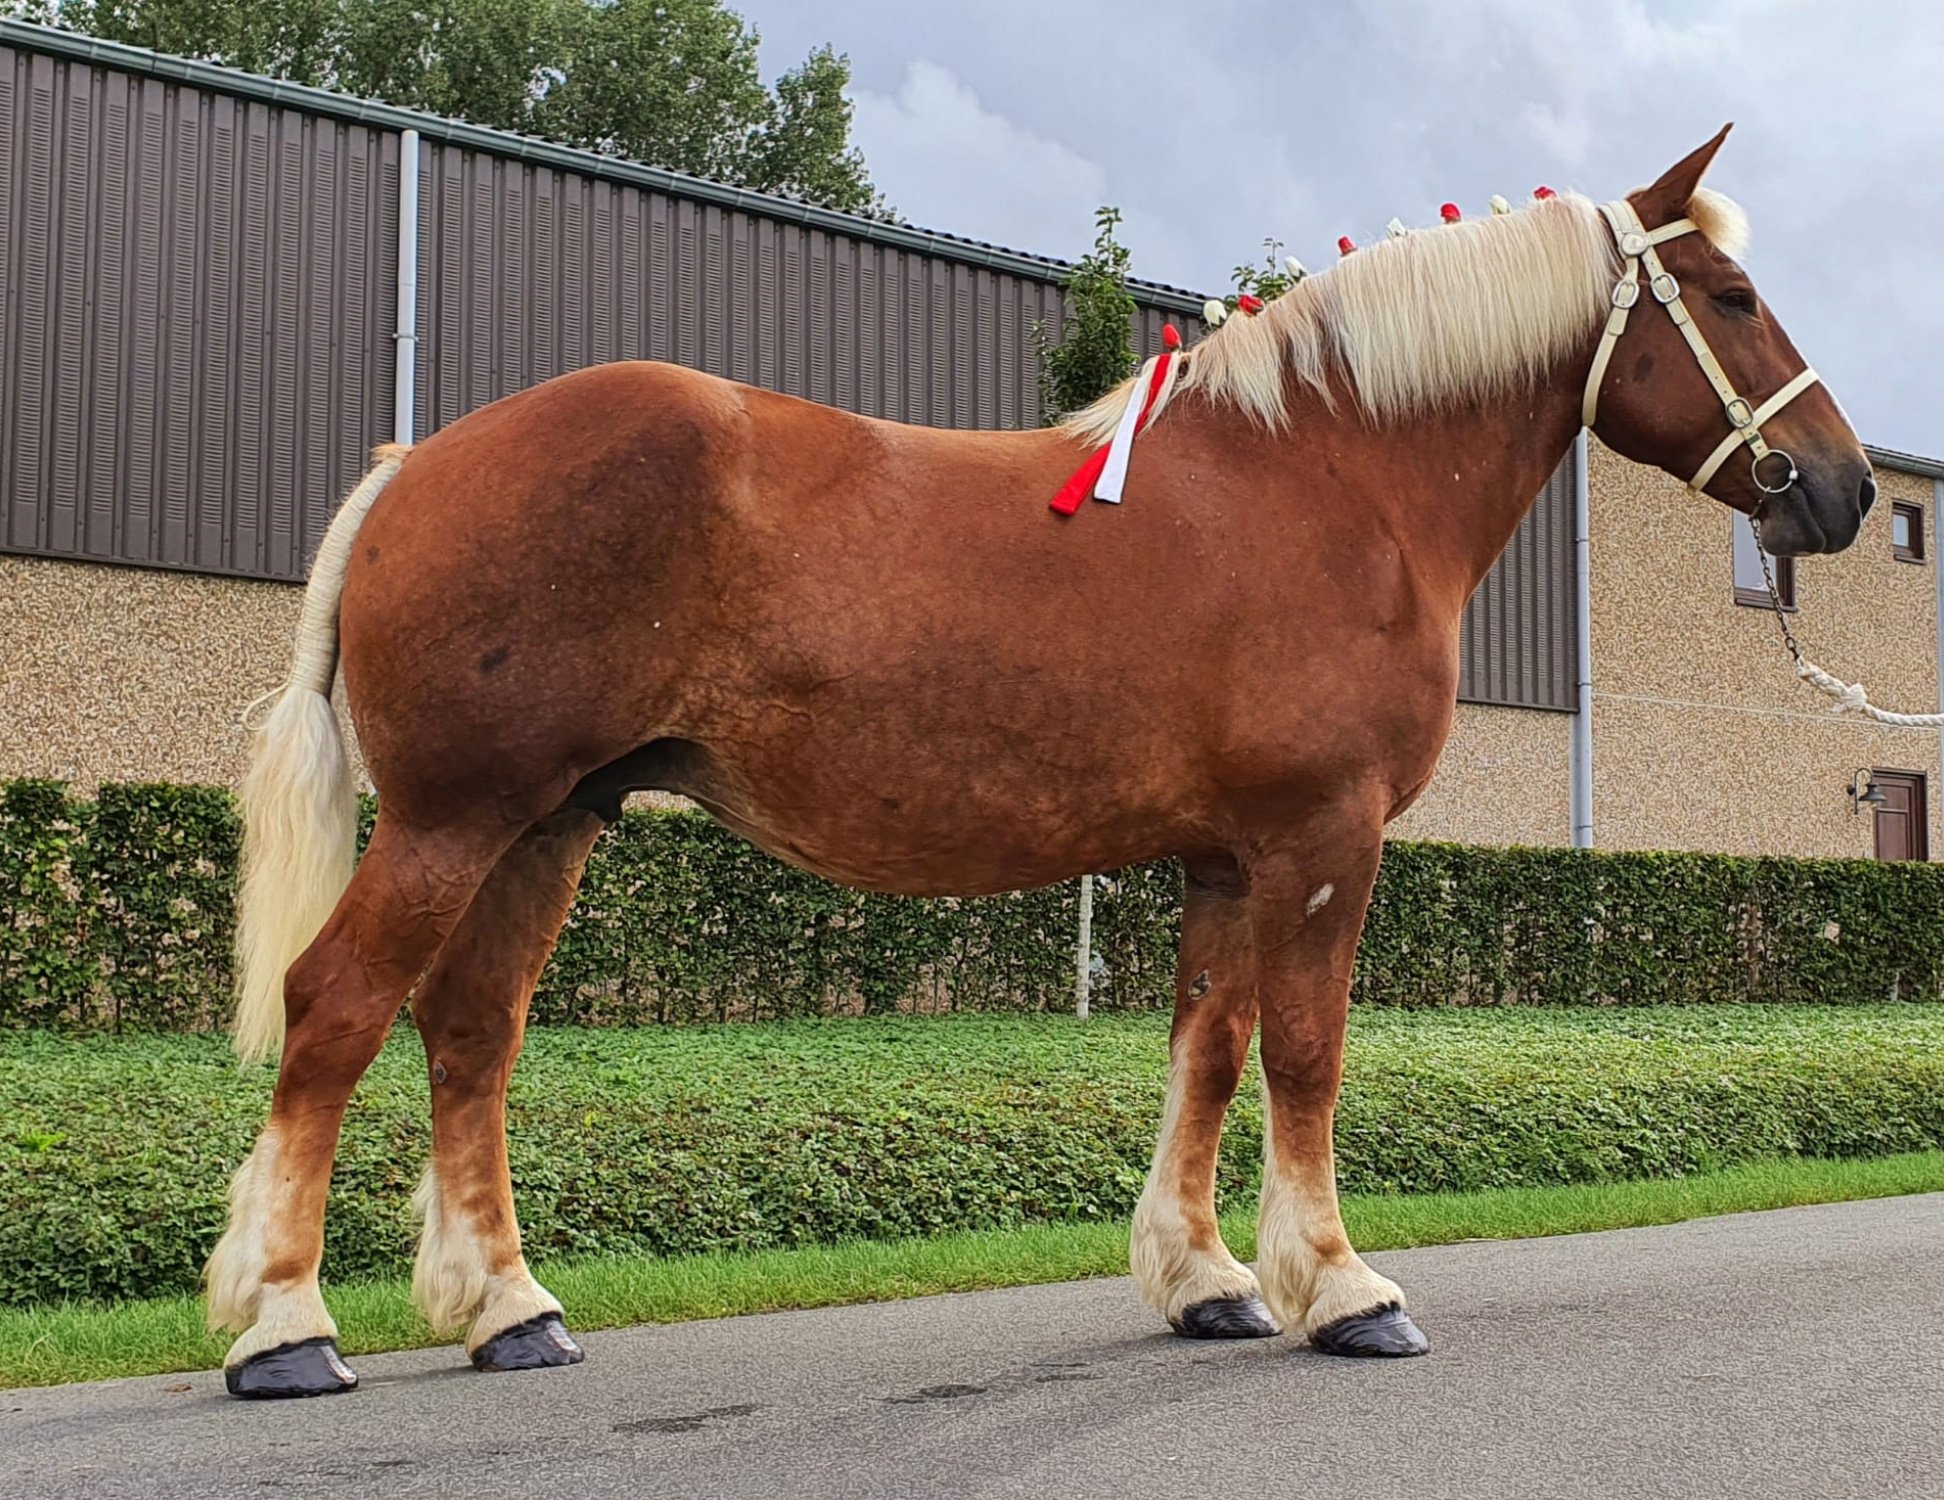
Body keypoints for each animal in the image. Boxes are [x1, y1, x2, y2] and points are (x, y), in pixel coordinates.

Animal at [208, 126, 1866, 1391]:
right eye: (1731, 293)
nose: (1844, 492)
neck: (1330, 485)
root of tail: (419, 465)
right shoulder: (1321, 840)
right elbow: (1306, 1052)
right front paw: (1341, 1286)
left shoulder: (1225, 856)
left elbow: (1210, 1050)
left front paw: (1206, 1281)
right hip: (453, 819)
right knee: (337, 1007)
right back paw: (285, 1325)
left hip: (550, 823)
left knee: (469, 1031)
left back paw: (508, 1309)